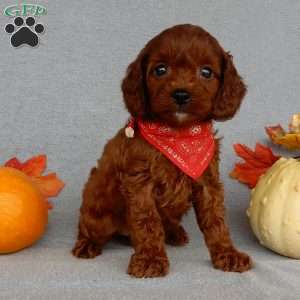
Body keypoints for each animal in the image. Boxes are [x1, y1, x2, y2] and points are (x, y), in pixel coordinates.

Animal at [72, 24, 251, 278]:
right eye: (160, 69)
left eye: (206, 72)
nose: (181, 94)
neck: (178, 133)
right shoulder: (140, 184)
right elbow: (148, 222)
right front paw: (150, 259)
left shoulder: (208, 182)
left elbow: (216, 221)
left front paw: (227, 253)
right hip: (97, 207)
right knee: (88, 226)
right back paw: (87, 244)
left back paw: (175, 232)